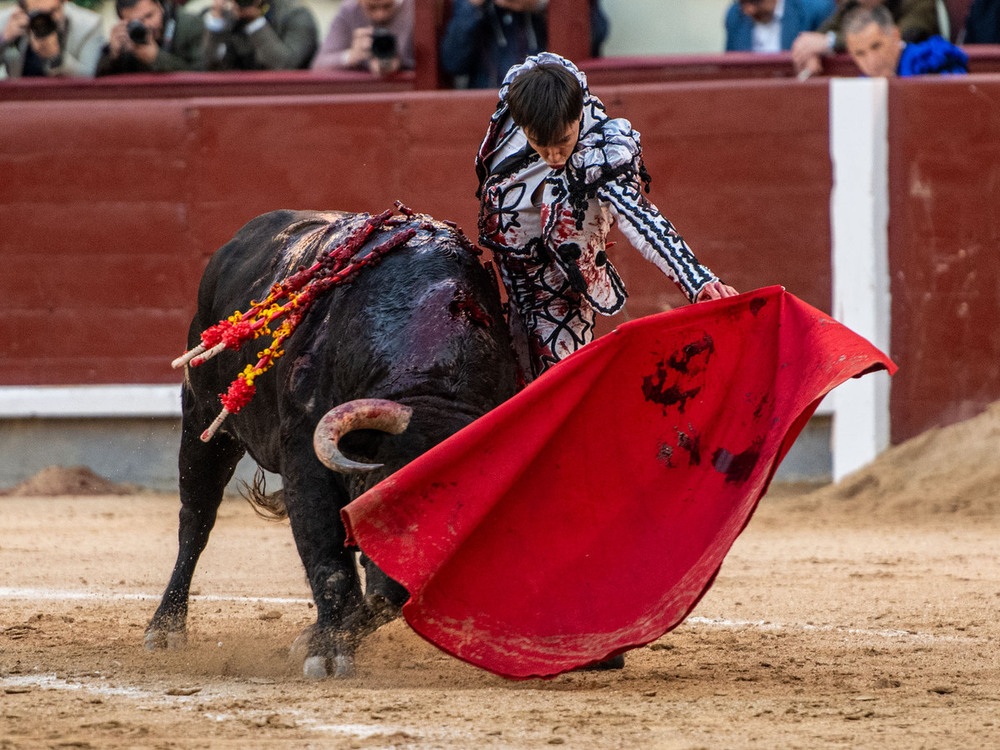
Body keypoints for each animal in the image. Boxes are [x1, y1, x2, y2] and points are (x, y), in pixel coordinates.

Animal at [146, 209, 520, 680]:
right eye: (384, 504)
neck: (433, 383)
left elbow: (375, 596)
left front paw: (317, 638)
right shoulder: (306, 463)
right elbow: (328, 559)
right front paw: (324, 652)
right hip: (204, 420)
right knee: (195, 521)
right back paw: (166, 628)